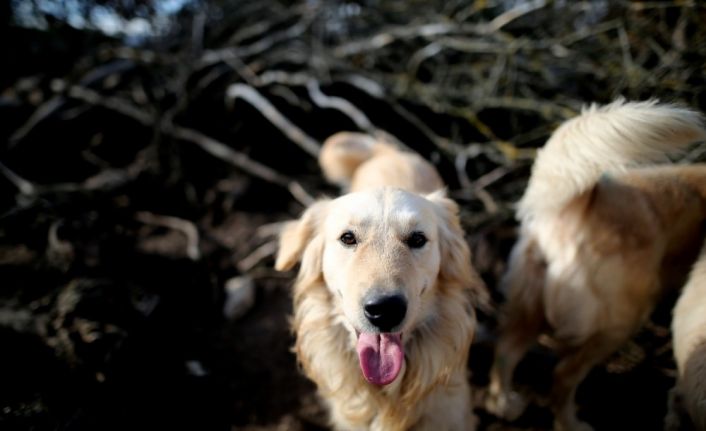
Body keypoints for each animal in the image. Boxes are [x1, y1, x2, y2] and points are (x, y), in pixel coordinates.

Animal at [484, 99, 704, 430]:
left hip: (528, 308)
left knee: (505, 351)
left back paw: (505, 405)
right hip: (619, 323)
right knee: (563, 376)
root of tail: (578, 207)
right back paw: (571, 424)